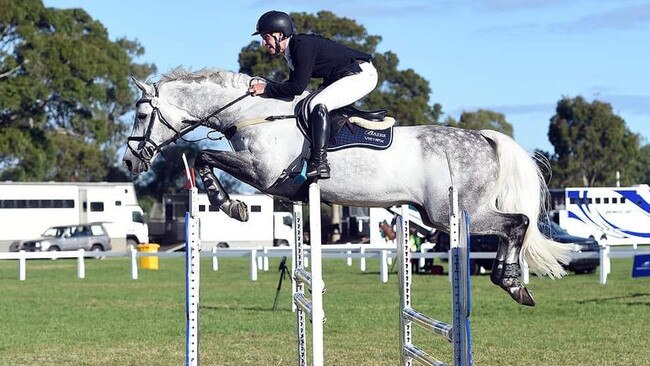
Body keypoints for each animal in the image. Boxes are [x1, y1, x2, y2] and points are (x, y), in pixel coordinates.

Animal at [121, 68, 568, 306]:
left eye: (141, 114)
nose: (129, 161)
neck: (252, 113)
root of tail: (483, 137)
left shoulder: (263, 173)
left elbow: (204, 158)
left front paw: (230, 205)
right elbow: (205, 159)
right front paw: (231, 204)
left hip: (455, 213)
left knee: (517, 223)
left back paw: (512, 283)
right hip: (444, 214)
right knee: (515, 225)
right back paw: (512, 283)